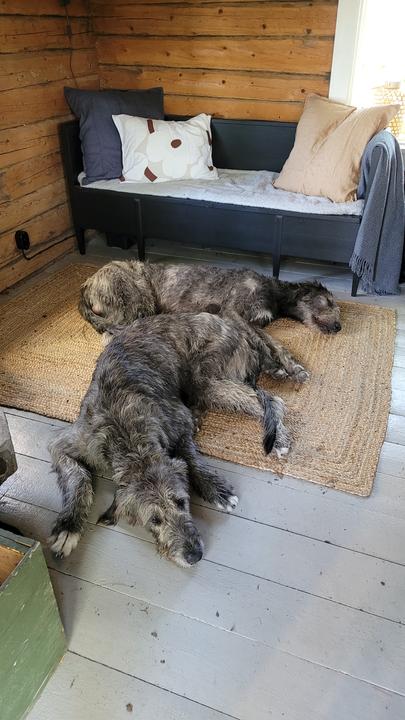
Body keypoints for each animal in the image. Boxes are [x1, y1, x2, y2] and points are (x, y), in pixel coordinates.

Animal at [49, 312, 304, 566]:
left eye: (181, 501)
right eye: (154, 520)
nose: (194, 555)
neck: (127, 433)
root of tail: (233, 322)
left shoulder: (178, 421)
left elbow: (189, 458)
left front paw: (215, 489)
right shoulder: (71, 443)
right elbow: (78, 477)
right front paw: (69, 526)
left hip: (206, 379)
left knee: (269, 400)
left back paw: (279, 438)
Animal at [79, 260, 342, 336]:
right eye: (328, 302)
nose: (339, 326)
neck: (274, 292)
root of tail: (86, 284)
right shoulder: (234, 309)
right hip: (137, 300)